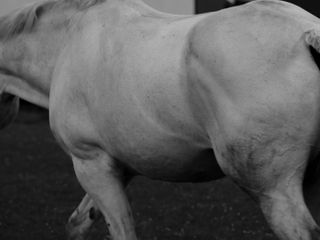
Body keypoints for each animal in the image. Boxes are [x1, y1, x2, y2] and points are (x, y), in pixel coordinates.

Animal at [1, 0, 320, 240]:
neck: (67, 43)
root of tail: (307, 36)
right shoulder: (119, 167)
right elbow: (78, 223)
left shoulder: (91, 163)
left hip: (274, 192)